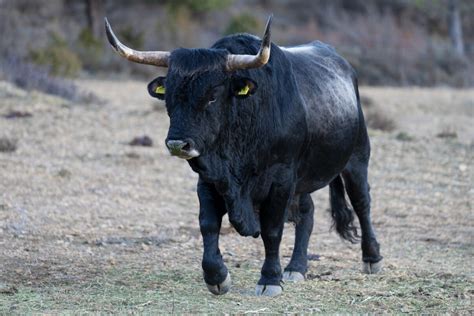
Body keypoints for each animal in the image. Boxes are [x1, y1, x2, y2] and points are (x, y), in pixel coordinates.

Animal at [104, 16, 382, 296]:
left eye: (212, 96)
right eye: (168, 97)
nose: (177, 144)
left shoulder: (281, 179)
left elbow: (272, 229)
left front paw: (270, 279)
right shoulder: (210, 179)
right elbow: (208, 224)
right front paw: (217, 276)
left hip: (357, 159)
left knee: (362, 202)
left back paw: (371, 258)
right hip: (303, 180)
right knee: (308, 212)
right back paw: (296, 267)